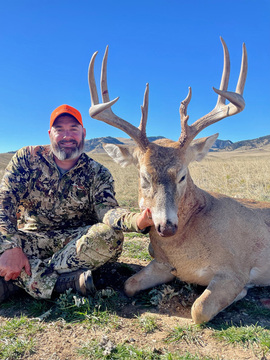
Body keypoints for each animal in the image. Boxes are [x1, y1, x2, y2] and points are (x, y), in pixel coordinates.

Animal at [87, 38, 268, 324]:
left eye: (183, 174)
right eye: (144, 176)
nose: (167, 227)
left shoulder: (235, 269)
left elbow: (199, 310)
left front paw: (240, 294)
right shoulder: (163, 265)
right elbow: (128, 284)